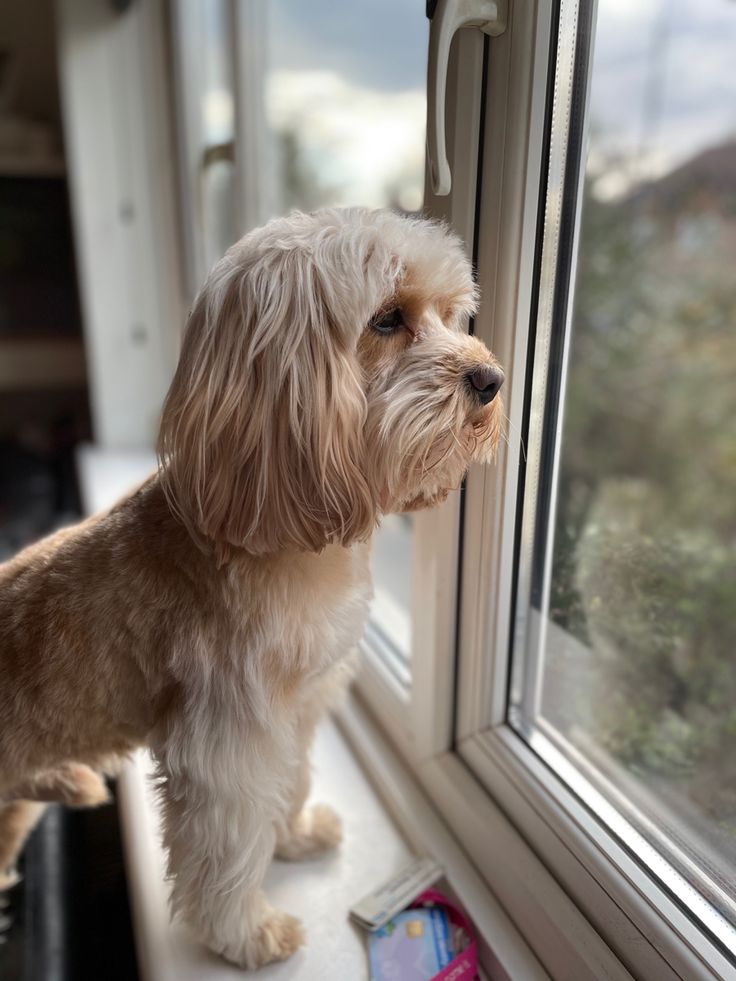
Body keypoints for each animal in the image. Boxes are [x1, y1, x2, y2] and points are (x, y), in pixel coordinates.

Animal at [0, 205, 504, 964]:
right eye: (387, 318)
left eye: (451, 314)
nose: (492, 379)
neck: (276, 538)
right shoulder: (227, 734)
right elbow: (229, 838)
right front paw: (244, 931)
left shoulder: (295, 706)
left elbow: (287, 780)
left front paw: (291, 835)